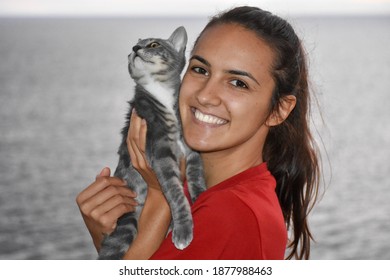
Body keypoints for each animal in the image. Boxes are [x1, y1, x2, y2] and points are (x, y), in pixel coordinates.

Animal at [97, 26, 206, 260]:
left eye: (154, 44)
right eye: (133, 47)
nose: (135, 48)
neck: (160, 90)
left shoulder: (192, 149)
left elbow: (196, 175)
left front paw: (200, 195)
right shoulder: (160, 150)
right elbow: (175, 193)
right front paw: (183, 229)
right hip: (127, 220)